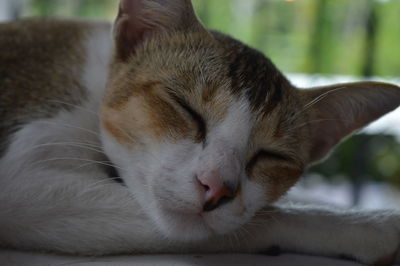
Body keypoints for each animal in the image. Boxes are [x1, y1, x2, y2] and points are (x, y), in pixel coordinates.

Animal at [0, 0, 400, 264]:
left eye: (271, 155)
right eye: (185, 108)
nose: (217, 186)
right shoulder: (24, 184)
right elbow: (266, 218)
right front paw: (370, 225)